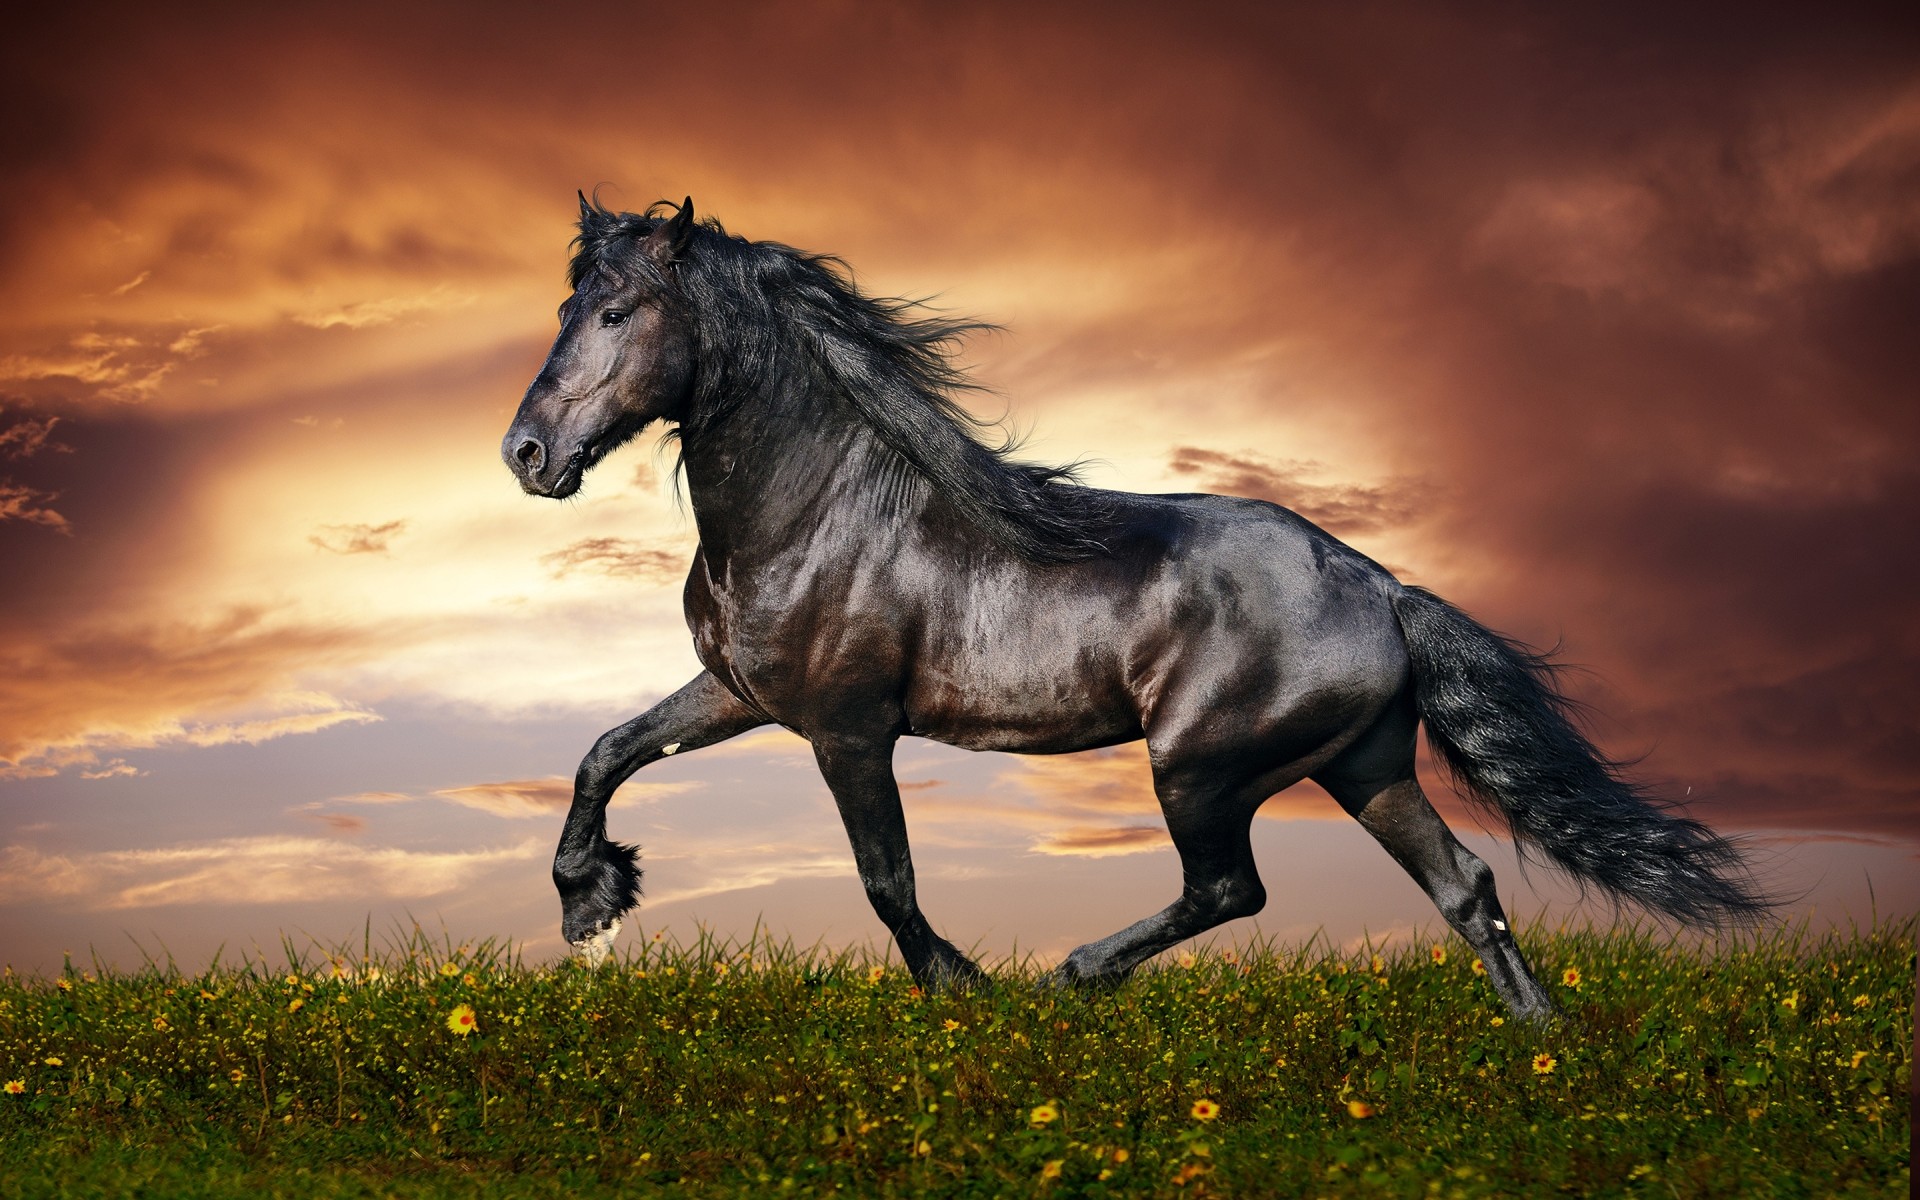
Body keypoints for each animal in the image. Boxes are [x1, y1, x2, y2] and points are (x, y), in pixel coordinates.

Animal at [503, 193, 1758, 1013]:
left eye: (617, 313)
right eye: (568, 307)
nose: (527, 454)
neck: (816, 509)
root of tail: (1380, 587)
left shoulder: (848, 728)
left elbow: (885, 877)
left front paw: (963, 990)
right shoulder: (741, 692)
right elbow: (607, 751)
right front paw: (590, 903)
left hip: (1199, 766)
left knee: (1232, 887)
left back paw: (1073, 977)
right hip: (1365, 766)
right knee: (1467, 888)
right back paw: (1540, 1049)